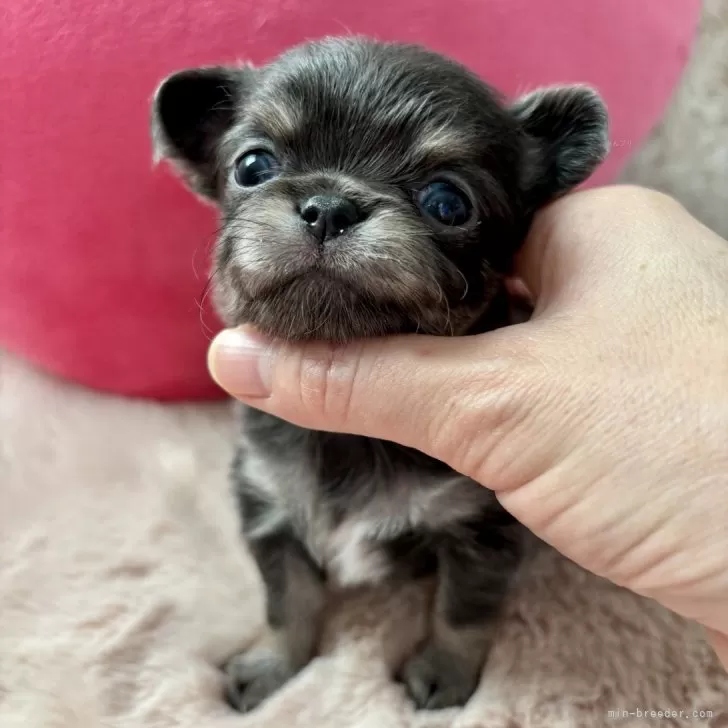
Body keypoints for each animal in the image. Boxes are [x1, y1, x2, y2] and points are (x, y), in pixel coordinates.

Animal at [149, 35, 608, 712]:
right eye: (253, 167)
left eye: (448, 202)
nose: (328, 207)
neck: (351, 435)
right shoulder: (272, 510)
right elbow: (288, 603)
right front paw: (272, 666)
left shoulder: (479, 534)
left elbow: (462, 612)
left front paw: (443, 674)